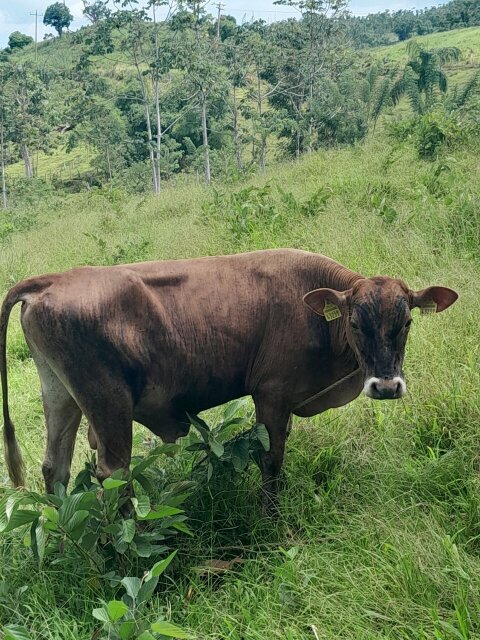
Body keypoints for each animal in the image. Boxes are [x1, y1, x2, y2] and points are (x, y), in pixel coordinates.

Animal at [1, 249, 458, 511]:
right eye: (356, 323)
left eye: (407, 322)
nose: (386, 387)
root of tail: (53, 279)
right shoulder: (271, 394)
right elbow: (271, 459)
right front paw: (270, 515)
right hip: (107, 404)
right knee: (114, 474)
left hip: (60, 396)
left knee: (55, 468)